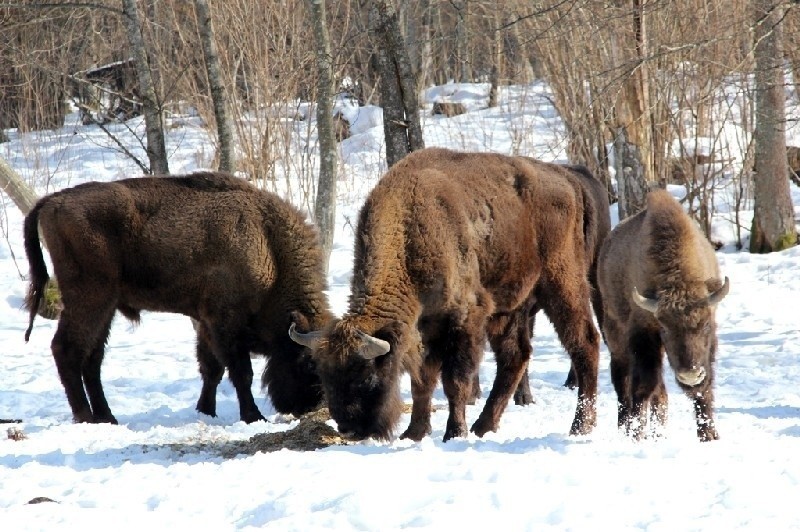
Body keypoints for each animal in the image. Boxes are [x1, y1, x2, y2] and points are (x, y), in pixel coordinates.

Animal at [23, 172, 332, 426]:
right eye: (308, 362)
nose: (306, 406)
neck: (267, 244)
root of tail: (53, 200)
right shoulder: (224, 322)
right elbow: (240, 371)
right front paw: (253, 416)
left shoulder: (205, 322)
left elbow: (212, 369)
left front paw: (206, 411)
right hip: (89, 299)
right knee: (67, 349)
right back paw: (86, 417)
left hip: (106, 307)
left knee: (92, 358)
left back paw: (107, 417)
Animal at [290, 148, 600, 442]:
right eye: (324, 376)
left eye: (366, 376)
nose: (349, 428)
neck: (409, 230)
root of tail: (568, 180)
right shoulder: (426, 328)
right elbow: (422, 382)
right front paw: (414, 432)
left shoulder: (465, 319)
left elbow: (455, 382)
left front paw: (454, 432)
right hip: (510, 308)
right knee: (515, 356)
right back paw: (484, 426)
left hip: (563, 283)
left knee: (585, 343)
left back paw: (580, 427)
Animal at [596, 189, 728, 442]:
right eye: (664, 329)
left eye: (706, 325)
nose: (690, 375)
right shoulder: (643, 332)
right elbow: (643, 384)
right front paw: (635, 434)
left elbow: (704, 388)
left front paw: (709, 434)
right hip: (614, 332)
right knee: (624, 381)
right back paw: (626, 428)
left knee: (660, 390)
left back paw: (659, 433)